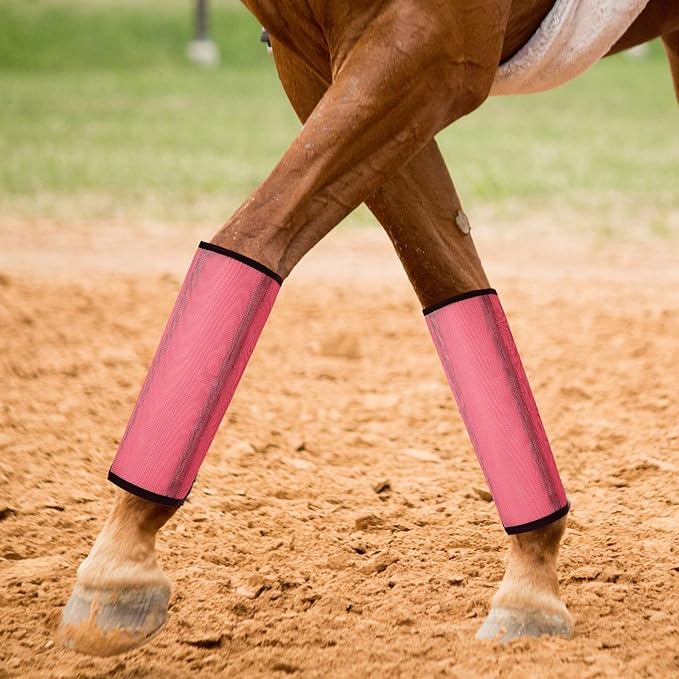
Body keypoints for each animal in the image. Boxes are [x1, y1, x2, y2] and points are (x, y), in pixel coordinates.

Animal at [58, 0, 679, 656]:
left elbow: (255, 235)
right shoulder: (316, 64)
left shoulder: (428, 48)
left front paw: (120, 565)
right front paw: (531, 582)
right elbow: (448, 278)